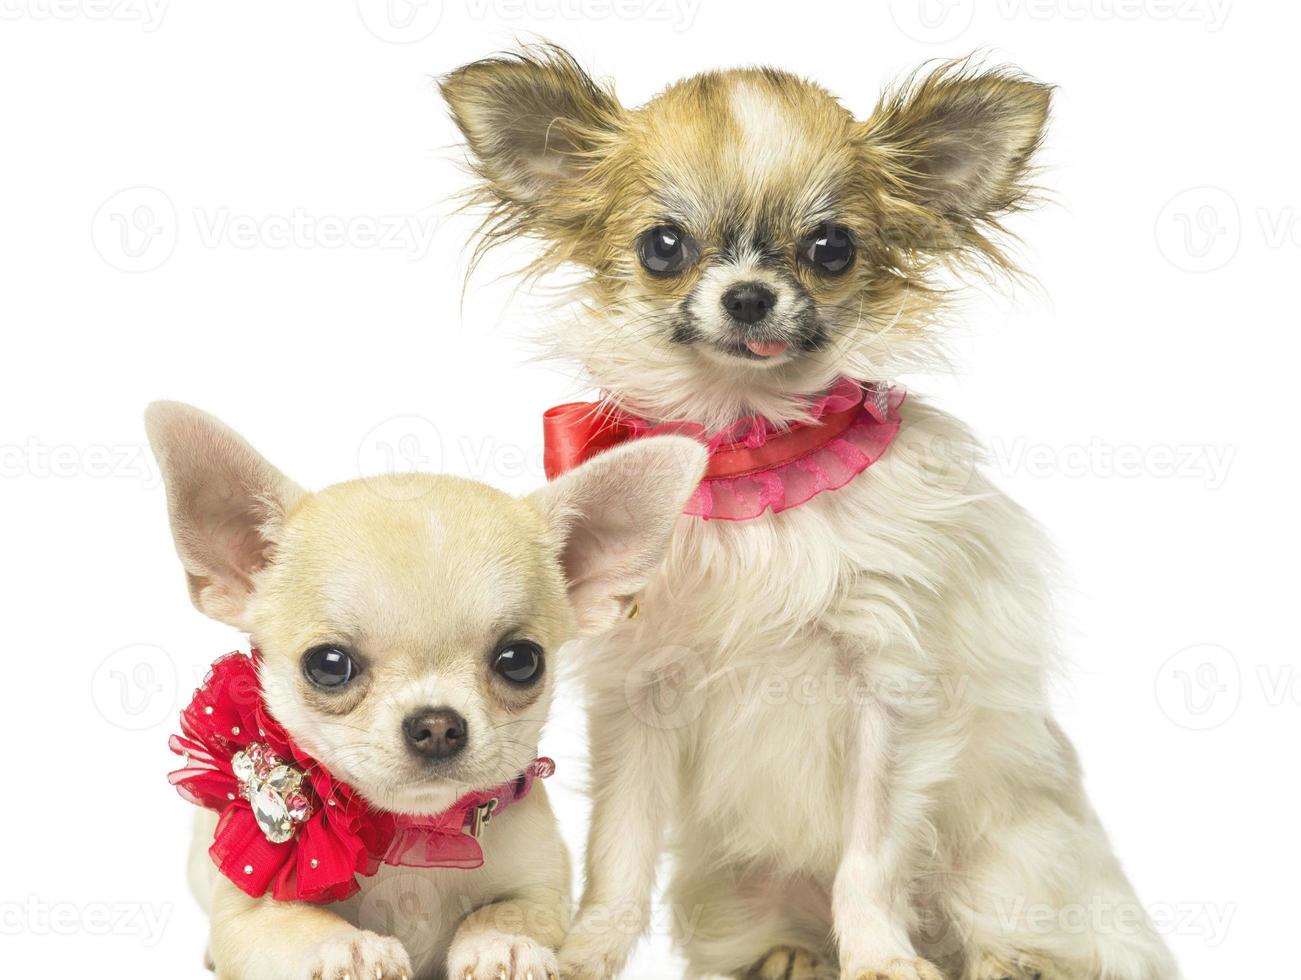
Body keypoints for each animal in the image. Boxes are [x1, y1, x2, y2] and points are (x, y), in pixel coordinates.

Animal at [147, 398, 707, 978]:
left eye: (520, 661)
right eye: (328, 665)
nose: (437, 725)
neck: (414, 832)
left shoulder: (542, 891)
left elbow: (504, 912)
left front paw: (502, 945)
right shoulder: (251, 918)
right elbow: (299, 925)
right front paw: (351, 947)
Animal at [444, 45, 1181, 978]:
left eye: (832, 249)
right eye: (661, 247)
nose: (749, 295)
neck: (750, 450)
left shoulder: (887, 698)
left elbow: (869, 859)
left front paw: (880, 960)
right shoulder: (638, 700)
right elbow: (619, 851)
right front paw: (583, 953)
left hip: (1008, 859)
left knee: (1031, 933)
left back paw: (1004, 962)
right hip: (737, 885)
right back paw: (790, 955)